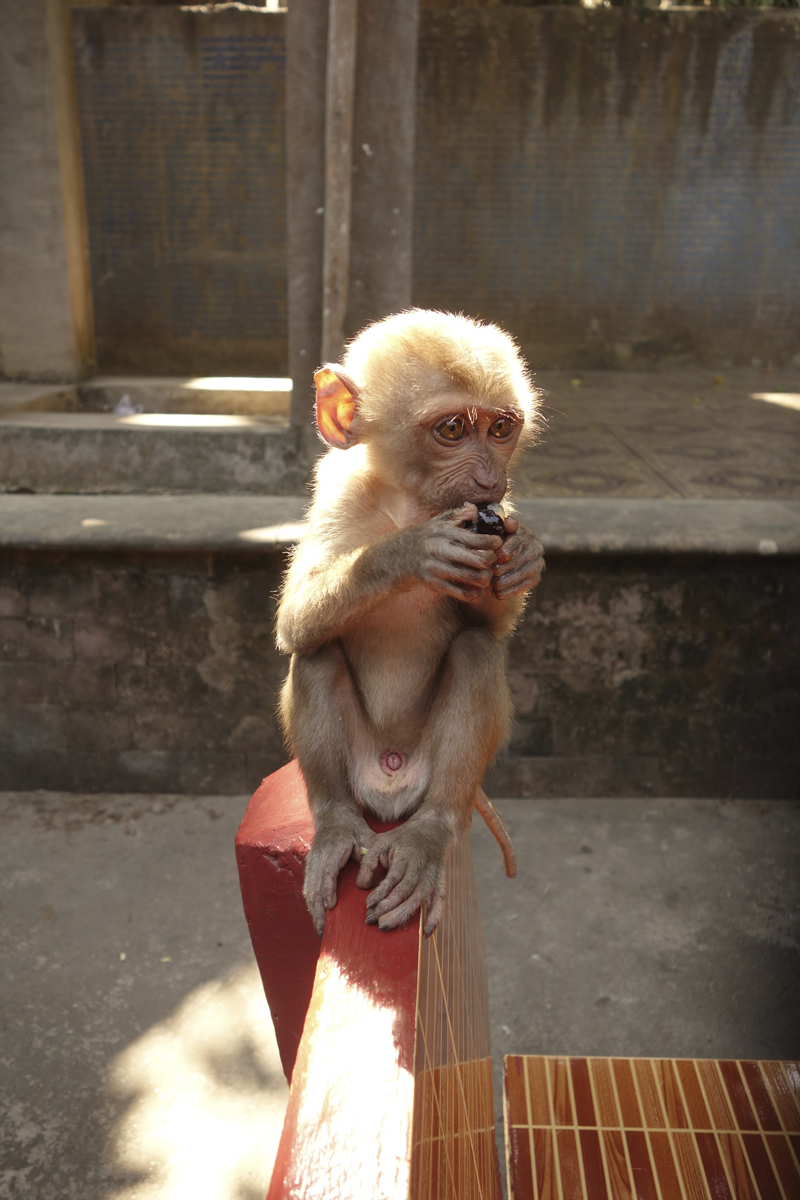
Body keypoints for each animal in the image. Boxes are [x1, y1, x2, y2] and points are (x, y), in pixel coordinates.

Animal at [275, 309, 544, 936]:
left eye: (501, 429)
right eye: (451, 429)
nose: (488, 479)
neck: (410, 505)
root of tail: (392, 784)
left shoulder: (499, 513)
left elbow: (491, 624)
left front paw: (524, 557)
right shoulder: (338, 495)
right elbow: (295, 620)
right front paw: (409, 552)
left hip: (429, 775)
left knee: (477, 650)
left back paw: (430, 830)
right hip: (361, 771)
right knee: (316, 651)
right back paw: (336, 823)